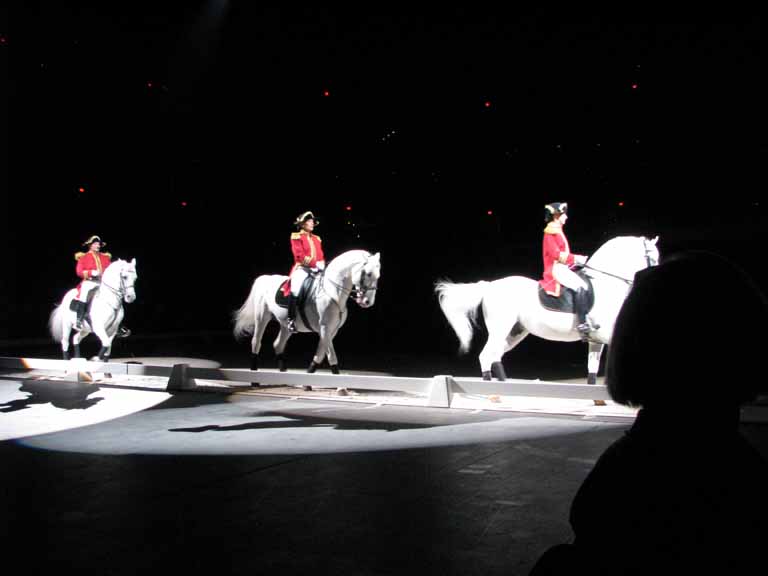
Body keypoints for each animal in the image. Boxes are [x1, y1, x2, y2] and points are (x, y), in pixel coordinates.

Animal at [231, 250, 380, 376]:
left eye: (378, 276)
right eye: (368, 273)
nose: (368, 302)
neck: (332, 292)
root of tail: (266, 278)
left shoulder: (332, 330)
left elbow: (320, 354)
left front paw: (308, 377)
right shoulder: (325, 328)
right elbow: (331, 355)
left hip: (286, 325)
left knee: (278, 344)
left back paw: (283, 372)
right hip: (262, 317)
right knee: (256, 342)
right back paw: (254, 374)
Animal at [436, 235, 656, 382]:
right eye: (652, 257)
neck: (605, 284)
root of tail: (490, 285)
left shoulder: (596, 339)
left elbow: (592, 369)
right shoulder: (606, 334)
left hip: (515, 332)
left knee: (495, 355)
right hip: (500, 328)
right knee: (486, 355)